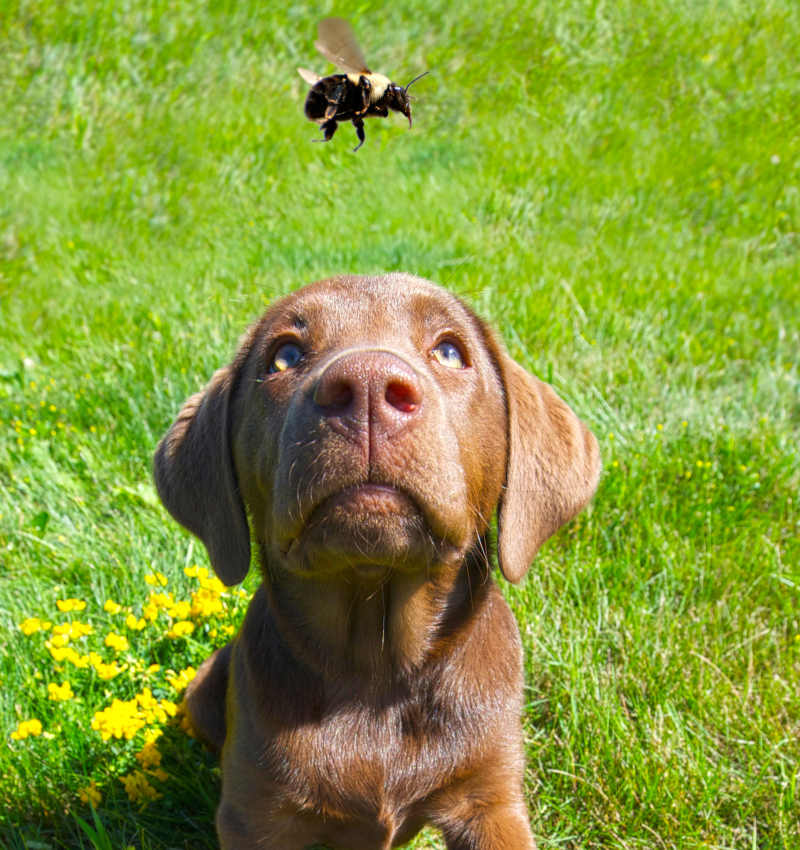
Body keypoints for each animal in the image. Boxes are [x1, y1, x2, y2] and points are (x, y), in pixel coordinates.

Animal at [153, 274, 596, 844]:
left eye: (450, 351)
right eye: (284, 355)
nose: (366, 387)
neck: (374, 671)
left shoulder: (491, 801)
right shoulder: (254, 817)